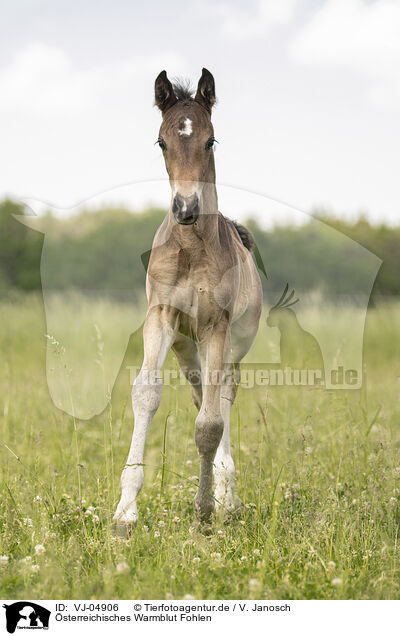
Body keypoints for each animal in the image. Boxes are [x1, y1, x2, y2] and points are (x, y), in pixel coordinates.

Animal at [113, 68, 262, 532]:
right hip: (184, 346)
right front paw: (124, 513)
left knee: (223, 399)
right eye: (161, 142)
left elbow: (210, 425)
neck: (191, 248)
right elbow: (146, 394)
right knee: (201, 395)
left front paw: (206, 510)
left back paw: (228, 494)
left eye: (211, 140)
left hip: (231, 346)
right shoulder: (161, 317)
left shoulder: (217, 326)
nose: (185, 208)